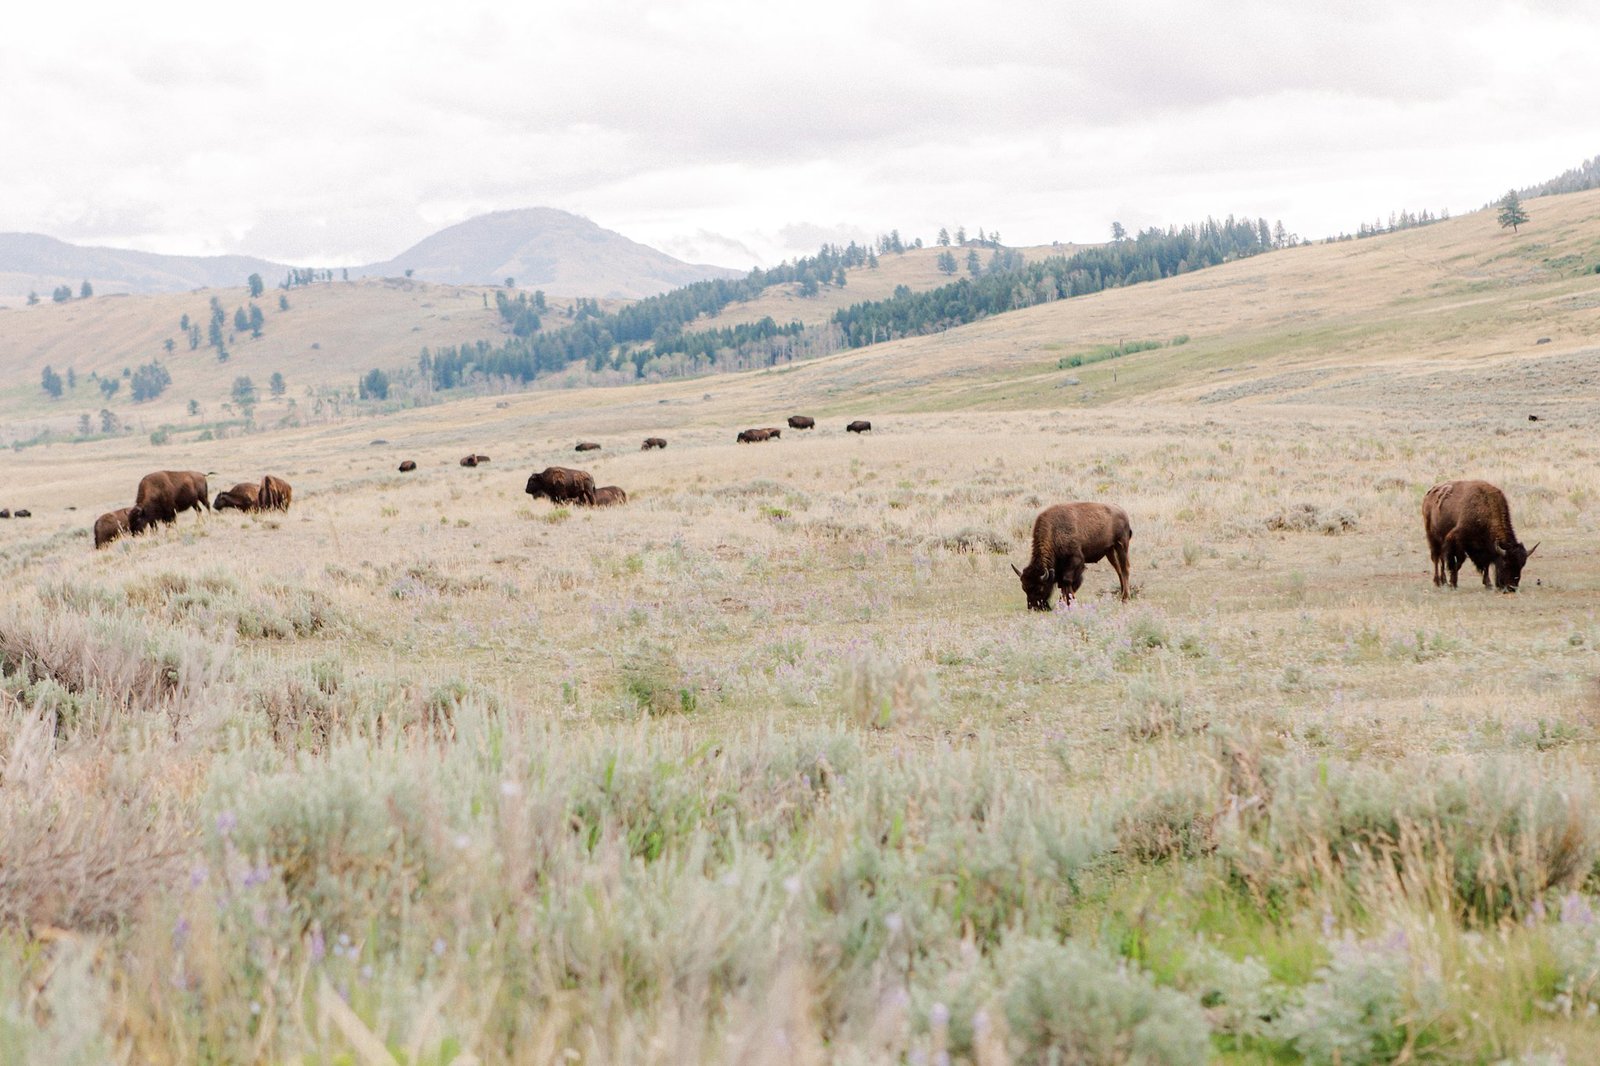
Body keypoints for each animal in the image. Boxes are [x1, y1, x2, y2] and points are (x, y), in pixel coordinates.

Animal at [1004, 502, 1132, 611]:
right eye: (1024, 588)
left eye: (1040, 588)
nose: (1034, 608)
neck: (1053, 532)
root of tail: (1123, 512)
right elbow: (1063, 586)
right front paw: (1063, 604)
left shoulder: (1076, 563)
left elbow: (1067, 583)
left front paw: (1070, 603)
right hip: (1109, 551)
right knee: (1118, 570)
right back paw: (1121, 594)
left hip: (1121, 545)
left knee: (1125, 569)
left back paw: (1125, 599)